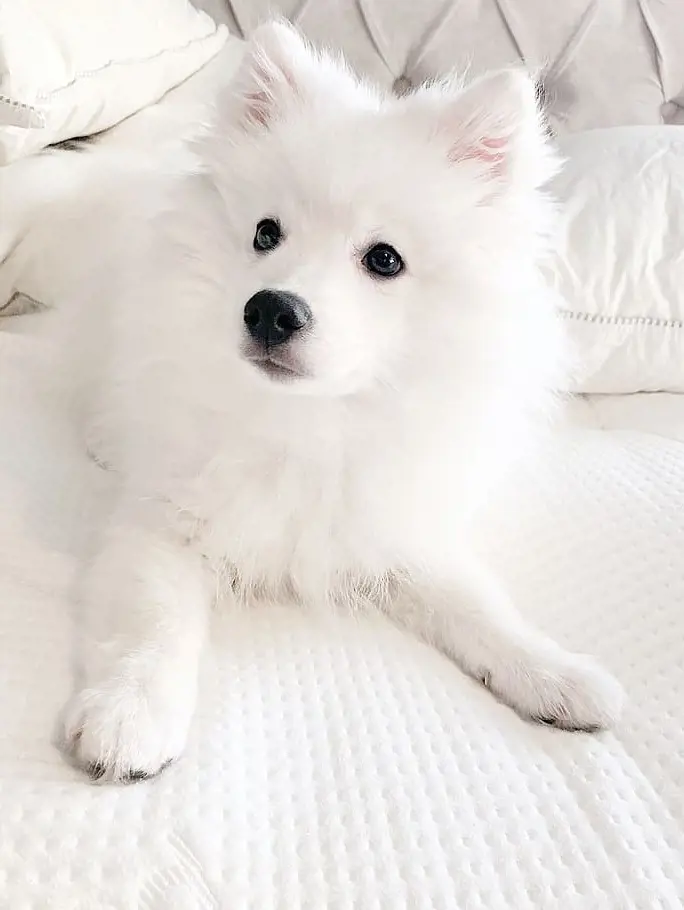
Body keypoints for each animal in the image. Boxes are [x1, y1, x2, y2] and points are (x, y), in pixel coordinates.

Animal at [45, 21, 624, 780]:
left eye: (384, 259)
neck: (313, 422)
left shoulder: (393, 525)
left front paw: (556, 673)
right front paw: (131, 713)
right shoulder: (164, 523)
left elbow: (476, 604)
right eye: (265, 233)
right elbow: (155, 618)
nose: (270, 309)